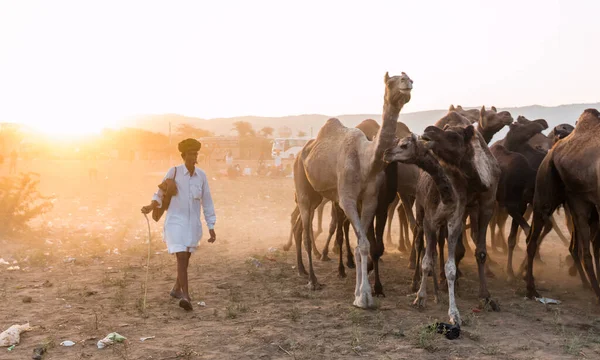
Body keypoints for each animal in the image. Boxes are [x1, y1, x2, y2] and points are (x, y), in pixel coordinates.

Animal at [292, 71, 412, 308]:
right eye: (390, 81)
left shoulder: (370, 200)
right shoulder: (347, 199)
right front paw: (365, 295)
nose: (408, 83)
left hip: (317, 196)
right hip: (302, 188)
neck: (366, 161)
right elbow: (363, 243)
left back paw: (303, 271)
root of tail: (301, 151)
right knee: (307, 232)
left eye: (406, 77)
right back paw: (313, 280)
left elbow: (362, 245)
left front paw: (361, 294)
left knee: (302, 225)